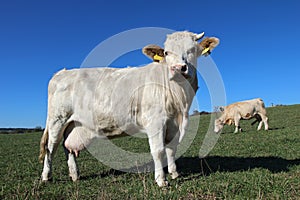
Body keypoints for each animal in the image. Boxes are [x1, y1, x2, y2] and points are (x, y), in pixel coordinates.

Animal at [38, 30, 219, 187]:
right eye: (167, 53)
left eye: (192, 50)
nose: (178, 68)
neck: (179, 96)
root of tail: (61, 73)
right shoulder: (155, 121)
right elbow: (158, 151)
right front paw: (161, 180)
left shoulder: (175, 123)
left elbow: (171, 149)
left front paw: (174, 173)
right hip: (57, 121)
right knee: (51, 148)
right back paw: (46, 176)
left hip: (72, 124)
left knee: (67, 147)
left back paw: (75, 175)